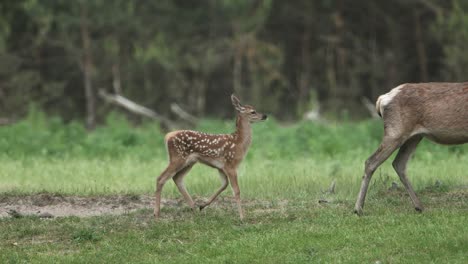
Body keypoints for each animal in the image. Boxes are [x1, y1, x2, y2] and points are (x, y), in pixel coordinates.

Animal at [354, 82, 468, 214]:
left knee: (398, 163)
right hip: (396, 132)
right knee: (371, 161)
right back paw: (358, 209)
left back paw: (419, 206)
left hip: (414, 136)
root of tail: (382, 99)